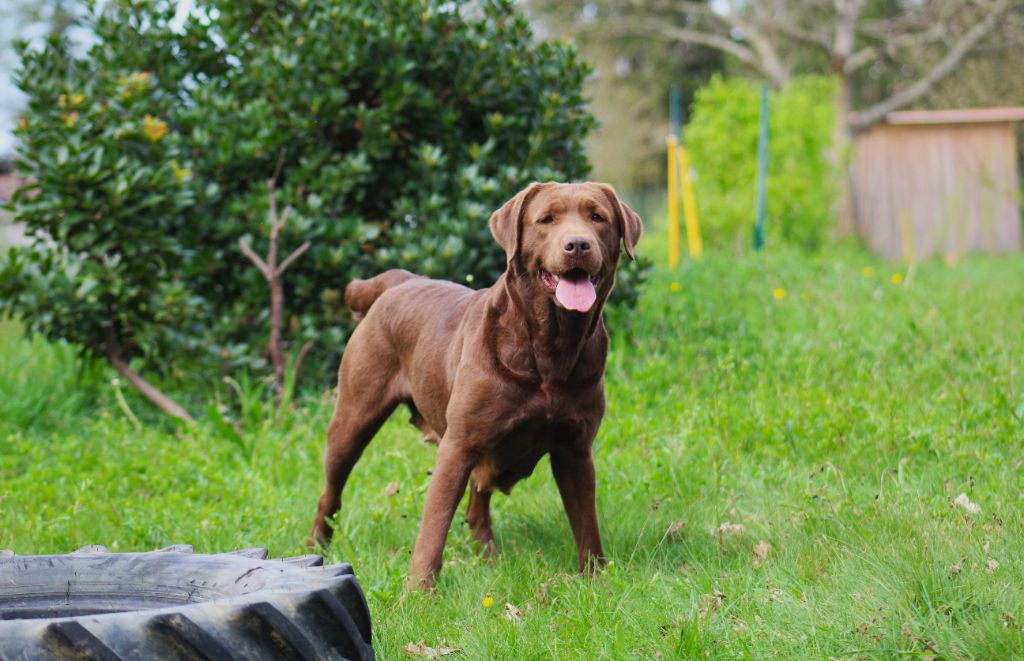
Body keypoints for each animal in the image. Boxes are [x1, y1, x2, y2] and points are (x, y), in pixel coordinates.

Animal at [311, 181, 643, 589]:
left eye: (598, 217)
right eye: (547, 219)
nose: (578, 244)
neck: (550, 349)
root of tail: (400, 280)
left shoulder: (575, 450)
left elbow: (586, 525)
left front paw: (595, 580)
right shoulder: (458, 445)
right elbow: (434, 526)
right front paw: (419, 592)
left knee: (477, 501)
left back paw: (489, 558)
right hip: (354, 418)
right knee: (331, 493)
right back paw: (316, 549)